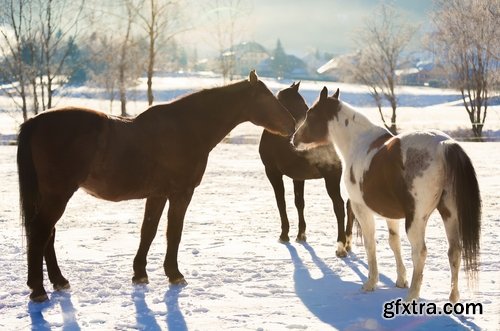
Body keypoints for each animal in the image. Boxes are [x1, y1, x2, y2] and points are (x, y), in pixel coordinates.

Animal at [17, 71, 294, 302]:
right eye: (267, 97)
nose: (292, 124)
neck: (188, 127)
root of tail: (36, 121)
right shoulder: (181, 193)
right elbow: (174, 232)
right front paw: (174, 273)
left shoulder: (158, 195)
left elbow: (148, 231)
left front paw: (140, 273)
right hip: (58, 195)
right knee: (41, 232)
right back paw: (39, 289)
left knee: (48, 234)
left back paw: (59, 281)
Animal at [260, 81, 354, 258]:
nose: (296, 135)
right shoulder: (298, 177)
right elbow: (299, 203)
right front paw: (301, 235)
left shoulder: (273, 173)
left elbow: (281, 202)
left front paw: (284, 235)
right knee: (350, 205)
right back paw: (348, 243)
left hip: (332, 178)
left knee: (339, 206)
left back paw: (341, 246)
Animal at [292, 86, 480, 304]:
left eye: (310, 114)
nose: (294, 139)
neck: (358, 144)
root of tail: (444, 144)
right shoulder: (391, 215)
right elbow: (394, 243)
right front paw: (400, 280)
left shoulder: (361, 209)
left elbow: (370, 244)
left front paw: (370, 283)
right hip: (450, 214)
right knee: (454, 251)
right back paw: (452, 298)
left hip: (417, 220)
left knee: (420, 252)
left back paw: (411, 297)